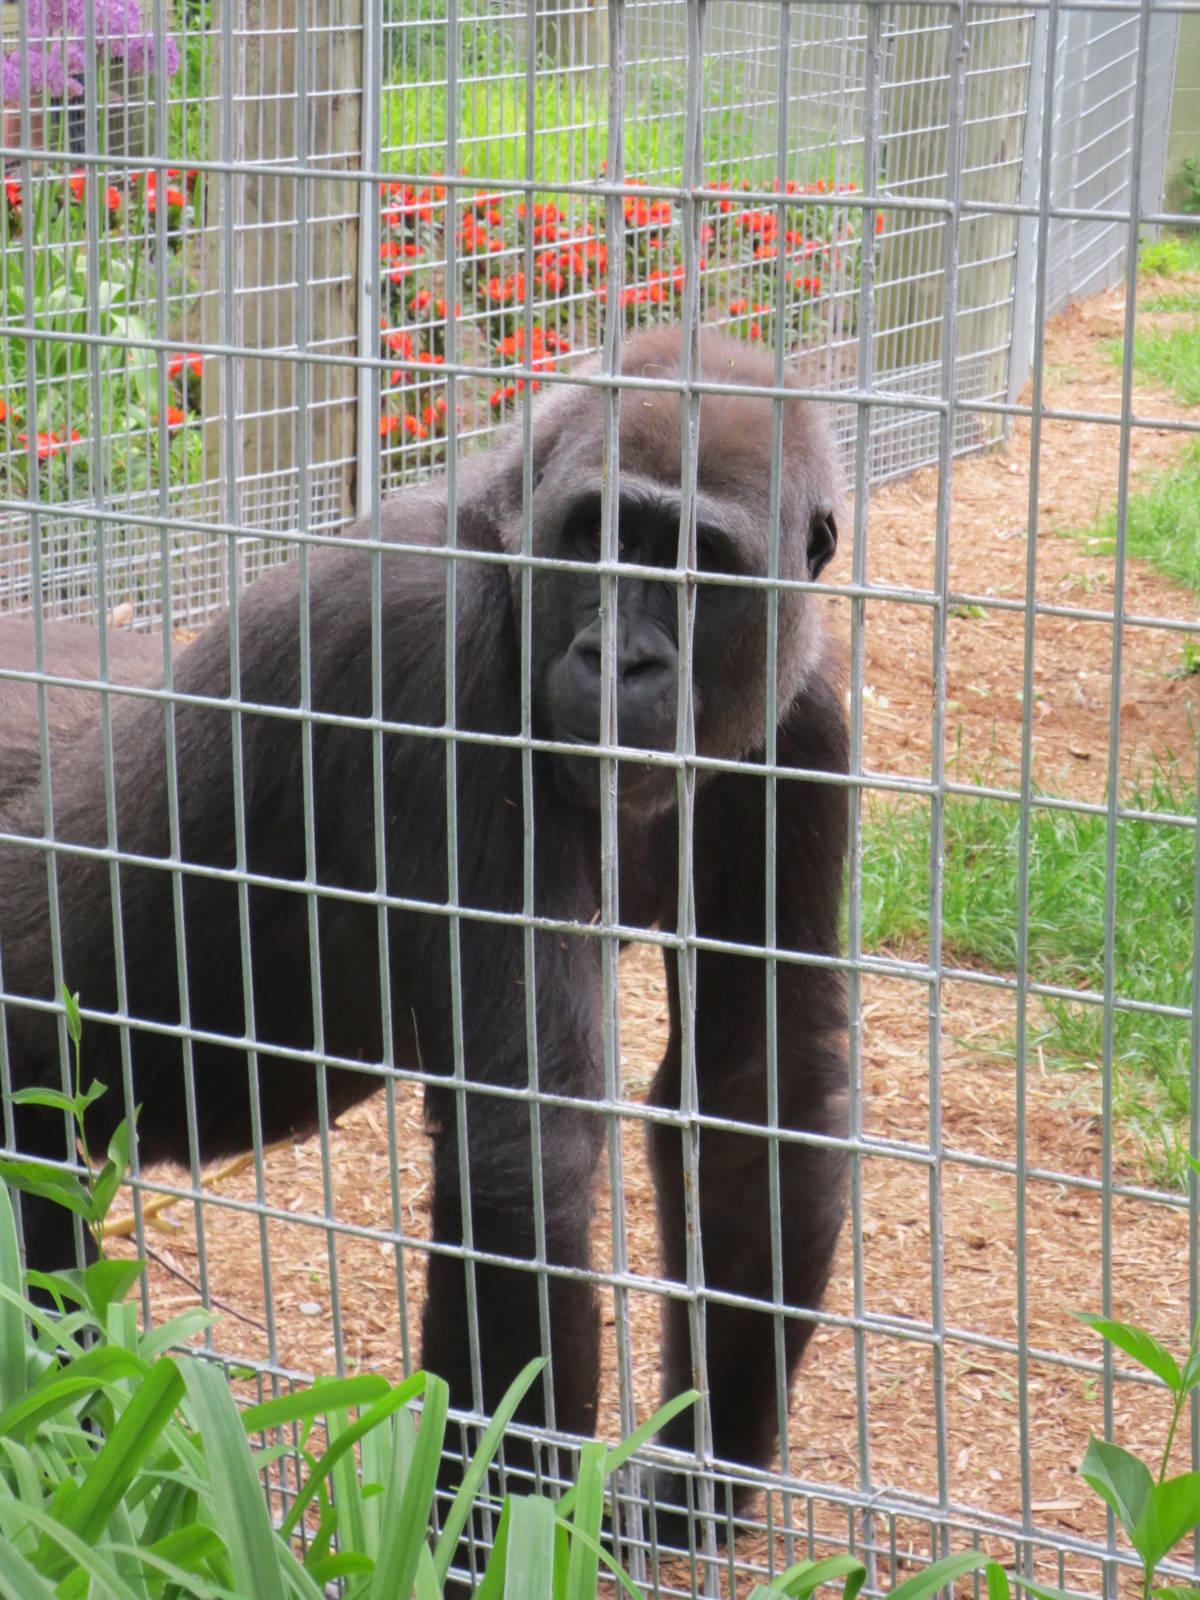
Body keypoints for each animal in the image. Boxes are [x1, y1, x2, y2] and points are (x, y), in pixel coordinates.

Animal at [0, 325, 848, 1537]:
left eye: (703, 566)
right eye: (600, 535)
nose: (623, 660)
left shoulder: (804, 716)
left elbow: (753, 1092)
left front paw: (698, 1472)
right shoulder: (427, 649)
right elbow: (522, 1156)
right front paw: (495, 1538)